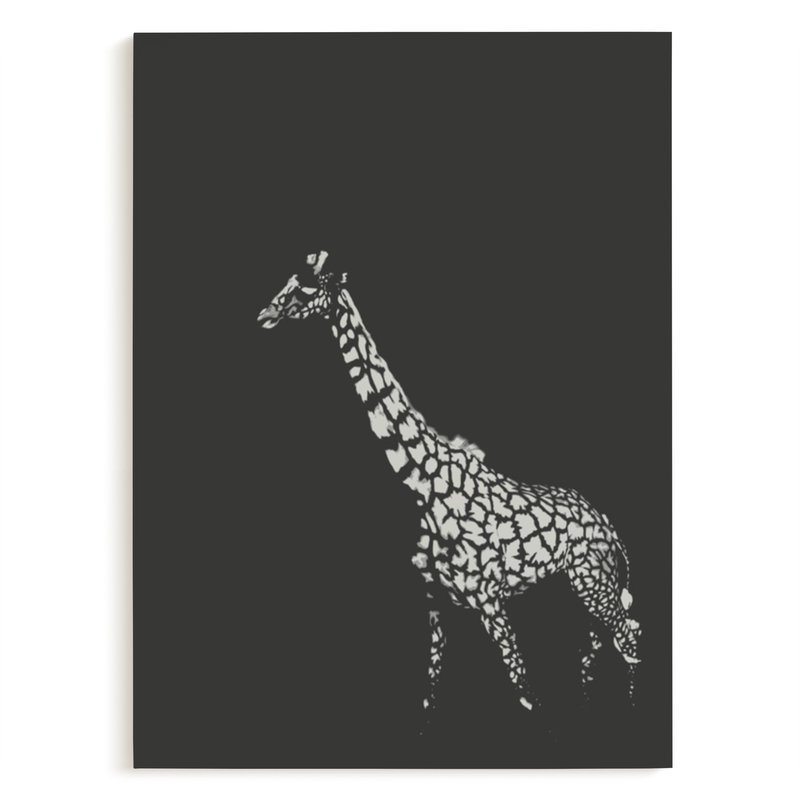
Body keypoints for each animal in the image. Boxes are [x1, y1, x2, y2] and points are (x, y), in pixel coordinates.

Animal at [257, 250, 642, 728]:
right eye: (288, 280)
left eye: (308, 289)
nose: (264, 314)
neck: (424, 483)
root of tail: (609, 525)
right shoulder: (435, 605)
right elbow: (430, 695)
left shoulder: (490, 601)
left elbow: (525, 693)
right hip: (575, 590)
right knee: (597, 647)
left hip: (593, 582)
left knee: (628, 638)